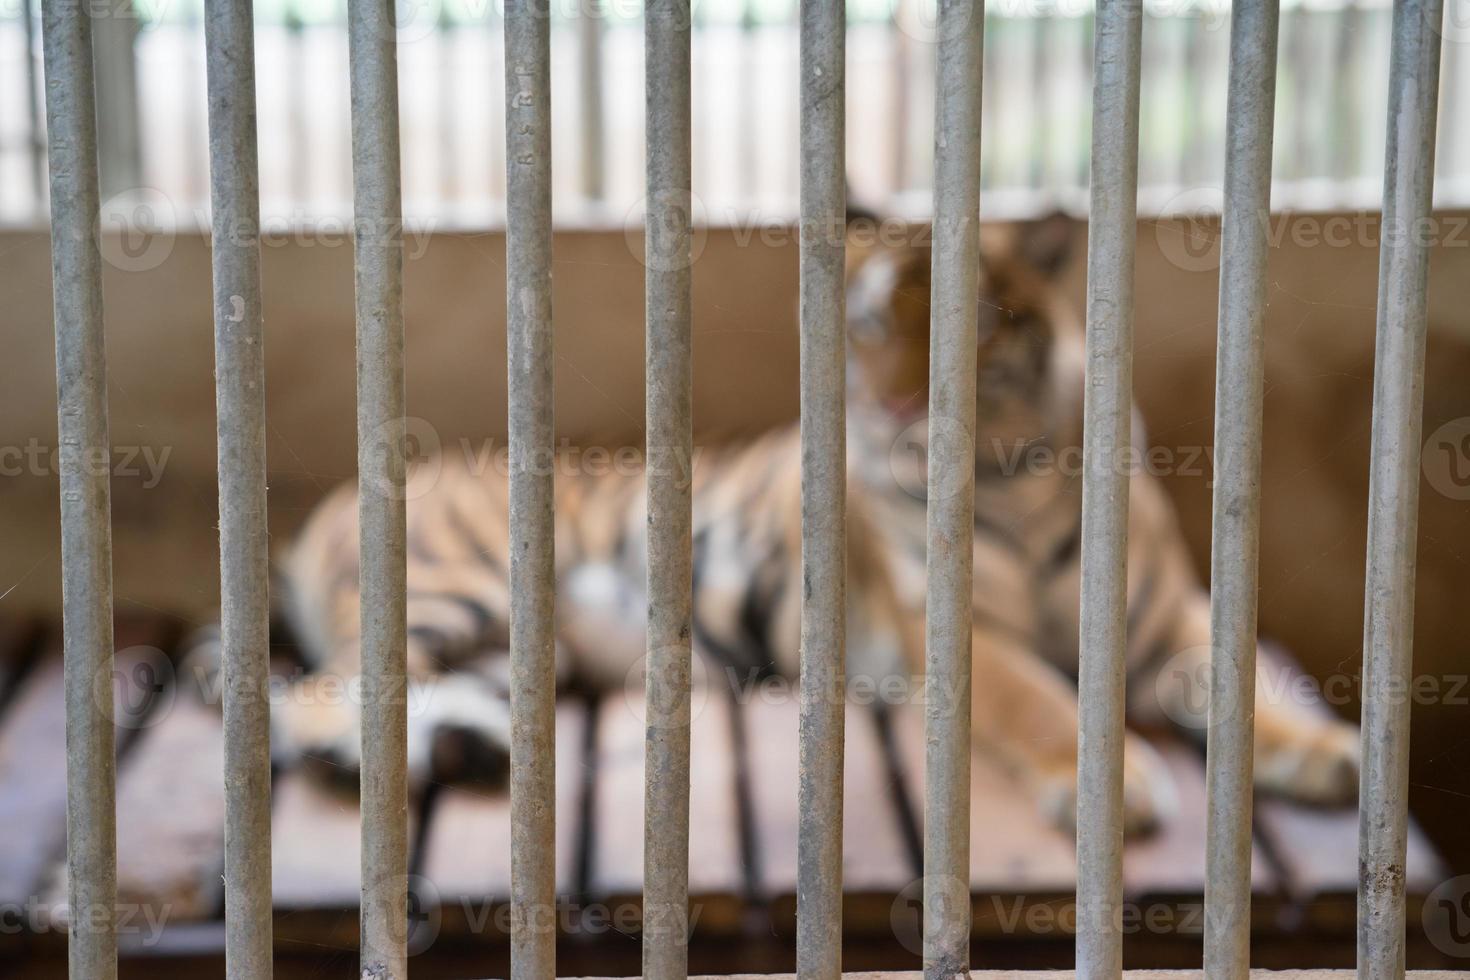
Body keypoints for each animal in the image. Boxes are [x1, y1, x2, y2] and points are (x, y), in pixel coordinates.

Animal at [246, 207, 1358, 834]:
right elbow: (1047, 702)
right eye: (863, 323)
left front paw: (1330, 755)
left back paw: (468, 749)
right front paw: (1109, 790)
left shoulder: (1172, 619)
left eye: (971, 324)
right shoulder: (961, 637)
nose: (898, 405)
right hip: (455, 583)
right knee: (314, 697)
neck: (1015, 474)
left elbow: (1247, 684)